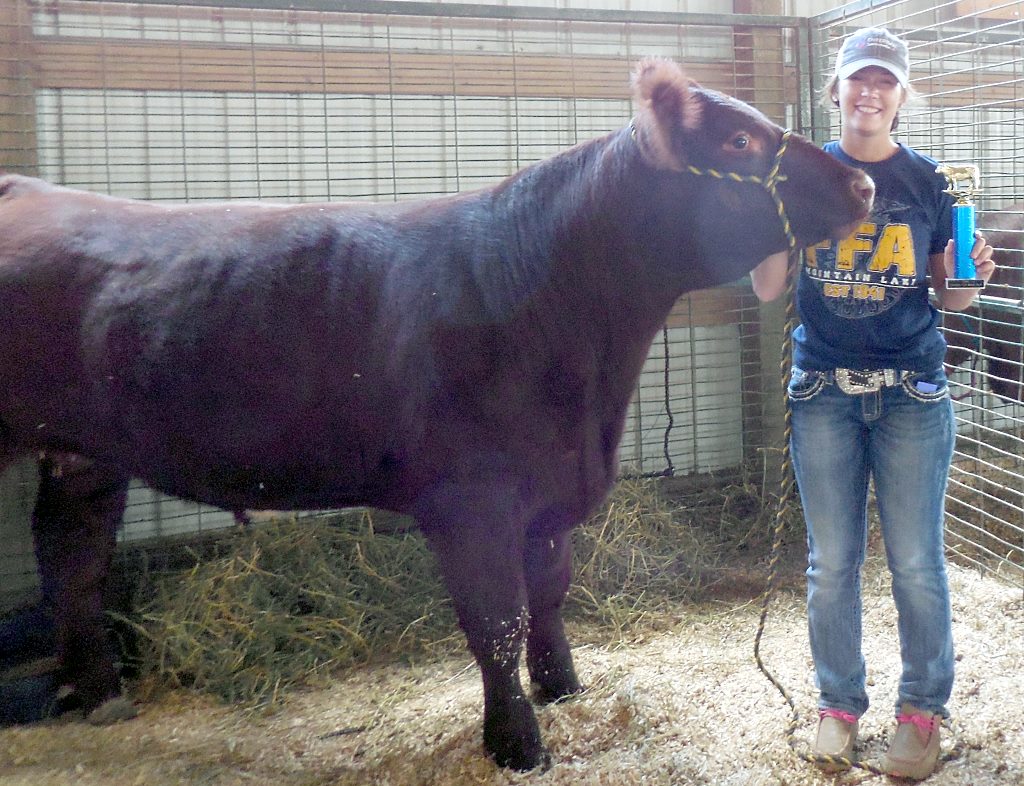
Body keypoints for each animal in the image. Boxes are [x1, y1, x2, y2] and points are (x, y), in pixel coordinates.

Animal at [0, 58, 872, 769]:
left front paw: (563, 689)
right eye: (737, 141)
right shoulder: (470, 500)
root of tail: (26, 185)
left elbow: (548, 594)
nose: (863, 186)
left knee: (72, 558)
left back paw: (100, 694)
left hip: (82, 453)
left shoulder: (548, 489)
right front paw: (518, 744)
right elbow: (497, 622)